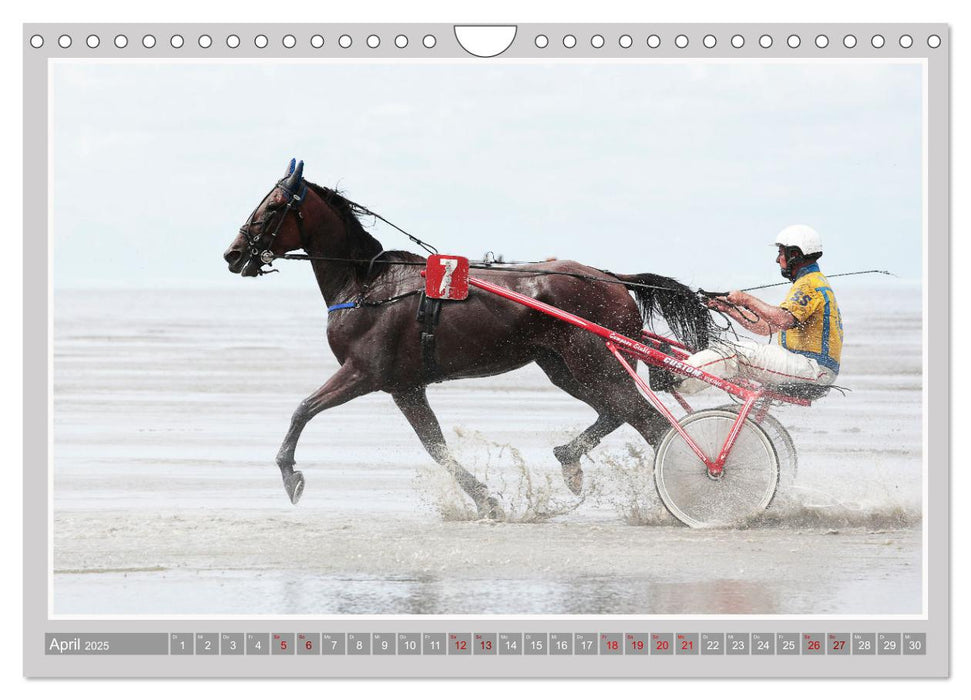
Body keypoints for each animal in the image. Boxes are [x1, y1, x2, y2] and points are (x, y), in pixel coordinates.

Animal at [226, 161, 712, 516]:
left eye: (273, 207)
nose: (233, 253)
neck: (367, 285)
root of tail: (610, 278)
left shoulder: (364, 372)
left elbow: (303, 409)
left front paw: (290, 475)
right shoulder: (405, 386)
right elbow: (436, 447)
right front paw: (487, 499)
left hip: (593, 362)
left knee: (644, 418)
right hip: (563, 367)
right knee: (618, 412)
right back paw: (571, 461)